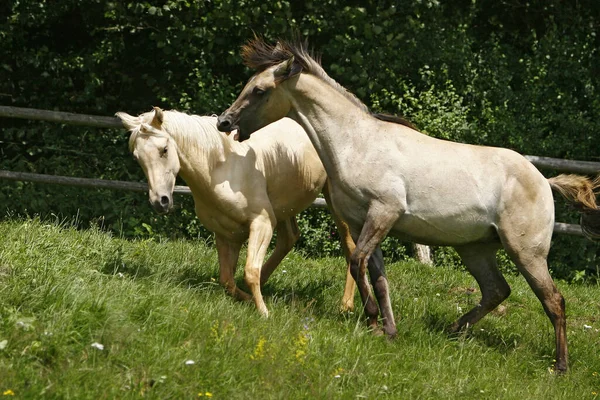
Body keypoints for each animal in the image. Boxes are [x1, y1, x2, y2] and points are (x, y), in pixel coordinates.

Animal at [115, 108, 364, 318]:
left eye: (164, 150)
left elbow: (249, 271)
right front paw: (251, 300)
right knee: (289, 238)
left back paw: (346, 305)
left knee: (349, 247)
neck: (220, 167)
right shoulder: (227, 233)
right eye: (137, 157)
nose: (160, 202)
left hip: (333, 202)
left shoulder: (262, 223)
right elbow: (227, 280)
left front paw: (264, 313)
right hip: (284, 207)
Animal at [218, 37, 600, 372]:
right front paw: (387, 330)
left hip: (526, 251)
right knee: (496, 290)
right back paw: (453, 331)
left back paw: (560, 367)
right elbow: (376, 275)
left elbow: (357, 263)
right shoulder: (363, 222)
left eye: (259, 91)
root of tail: (545, 182)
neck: (356, 143)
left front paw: (373, 321)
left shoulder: (384, 212)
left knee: (553, 300)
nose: (224, 121)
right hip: (475, 249)